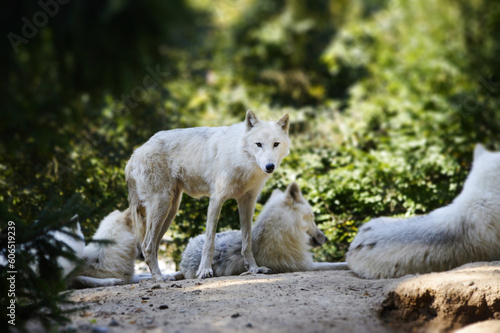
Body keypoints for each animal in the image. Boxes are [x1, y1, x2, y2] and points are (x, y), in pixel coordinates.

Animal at [125, 110, 292, 278]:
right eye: (258, 144)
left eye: (276, 144)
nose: (269, 166)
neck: (241, 157)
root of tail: (135, 153)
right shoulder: (216, 199)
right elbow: (209, 241)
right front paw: (204, 270)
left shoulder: (247, 202)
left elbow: (247, 242)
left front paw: (254, 268)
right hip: (162, 206)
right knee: (147, 246)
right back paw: (160, 278)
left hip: (170, 211)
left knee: (153, 246)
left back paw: (163, 276)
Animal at [177, 182, 348, 278]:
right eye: (312, 217)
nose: (326, 239)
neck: (281, 232)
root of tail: (187, 248)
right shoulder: (307, 266)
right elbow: (337, 264)